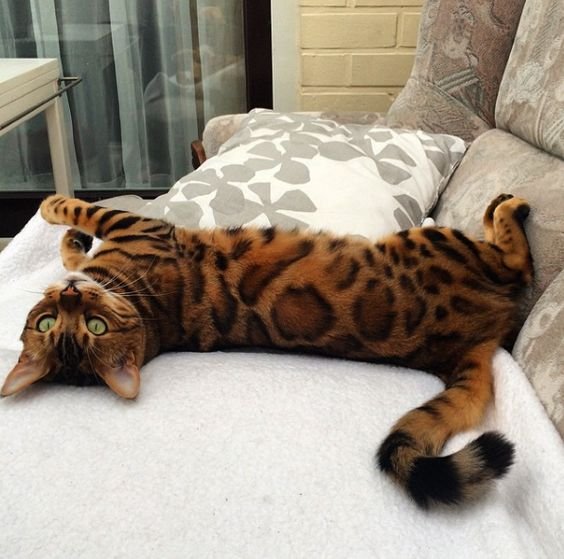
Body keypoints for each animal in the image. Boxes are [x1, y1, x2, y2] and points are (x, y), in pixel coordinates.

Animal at [2, 195, 532, 510]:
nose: (72, 297)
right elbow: (80, 209)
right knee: (516, 262)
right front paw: (52, 208)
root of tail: (476, 338)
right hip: (437, 241)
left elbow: (75, 244)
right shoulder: (138, 226)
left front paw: (69, 241)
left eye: (56, 321)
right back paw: (508, 207)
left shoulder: (126, 238)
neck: (150, 316)